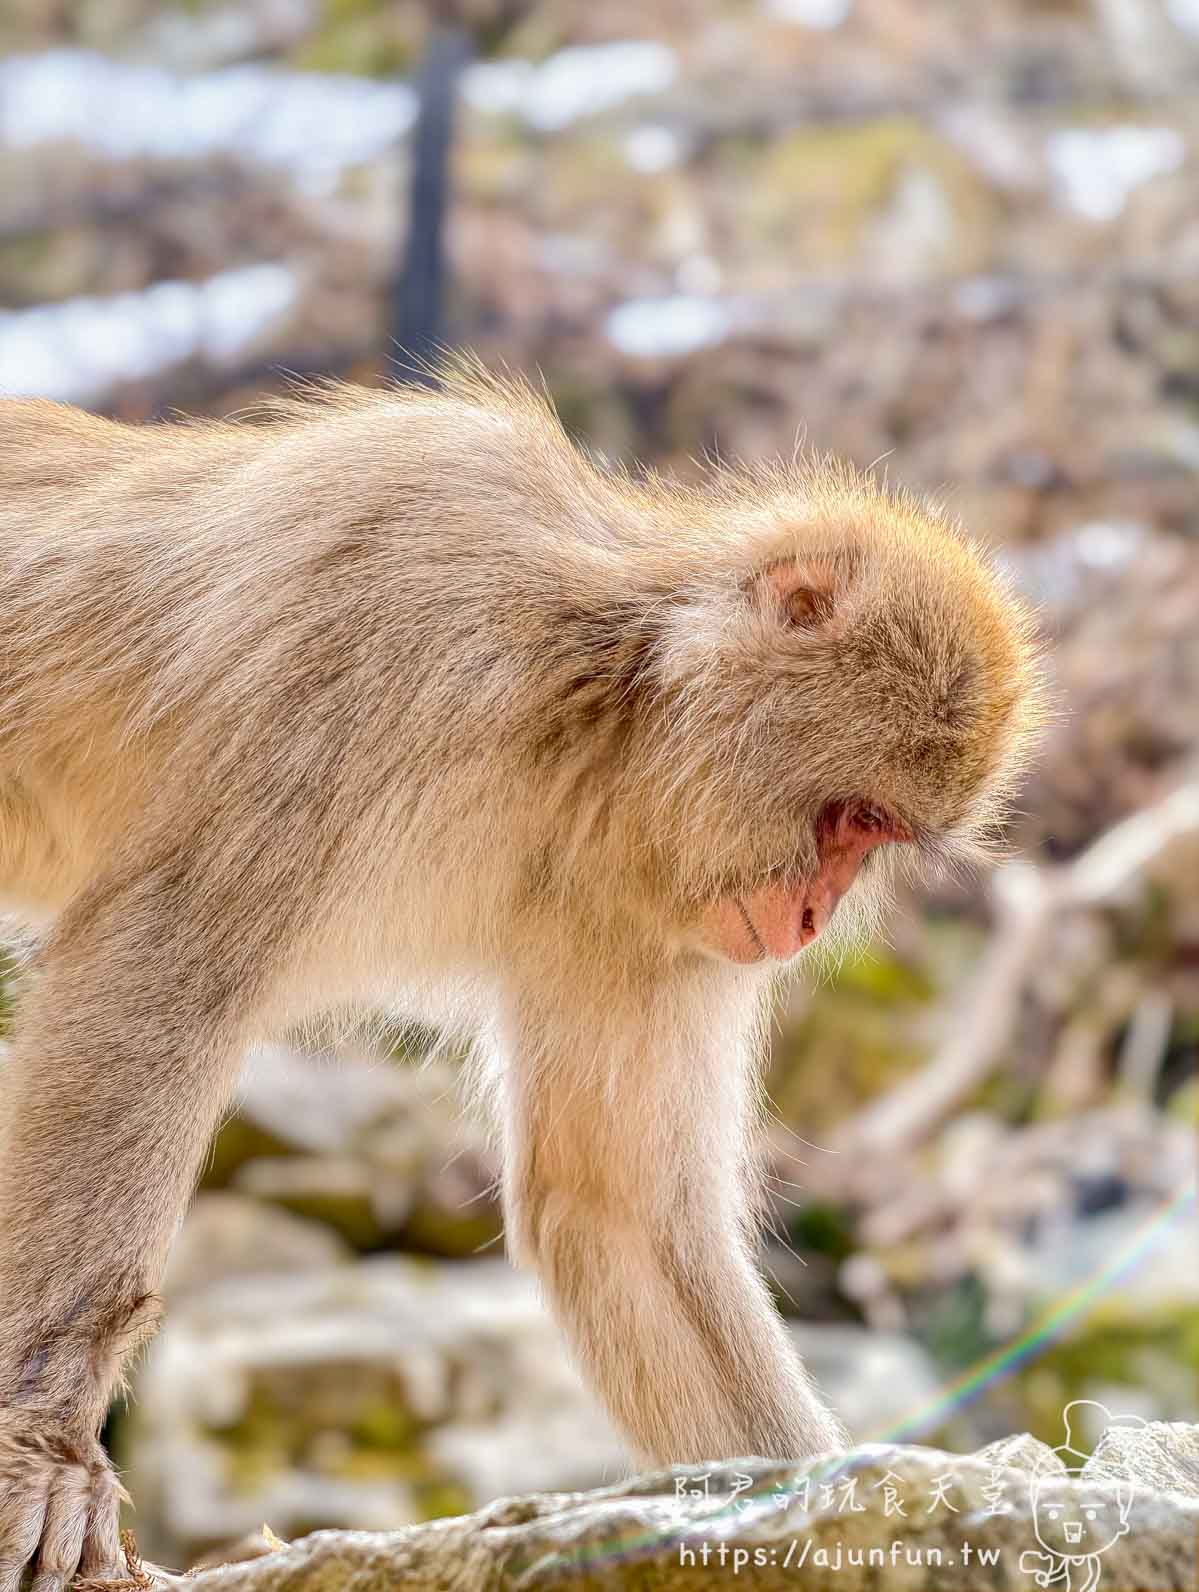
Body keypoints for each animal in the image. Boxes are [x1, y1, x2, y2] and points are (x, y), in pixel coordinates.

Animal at [0, 362, 1042, 1588]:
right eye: (852, 817)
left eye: (871, 842)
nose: (805, 920)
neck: (599, 712)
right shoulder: (401, 609)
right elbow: (161, 968)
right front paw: (43, 1452)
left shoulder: (643, 919)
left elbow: (616, 1212)